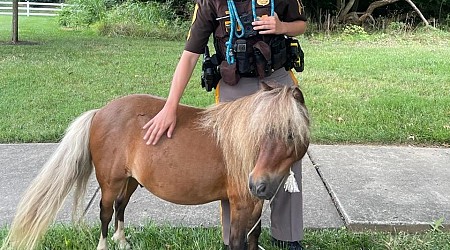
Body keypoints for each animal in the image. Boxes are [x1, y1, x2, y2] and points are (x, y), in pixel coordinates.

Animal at [0, 83, 310, 249]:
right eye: (259, 133)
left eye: (290, 134)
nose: (258, 184)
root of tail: (100, 112)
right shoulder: (241, 204)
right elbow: (237, 240)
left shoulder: (254, 206)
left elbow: (253, 237)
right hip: (110, 182)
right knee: (105, 212)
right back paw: (105, 244)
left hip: (131, 181)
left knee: (120, 207)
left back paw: (122, 241)